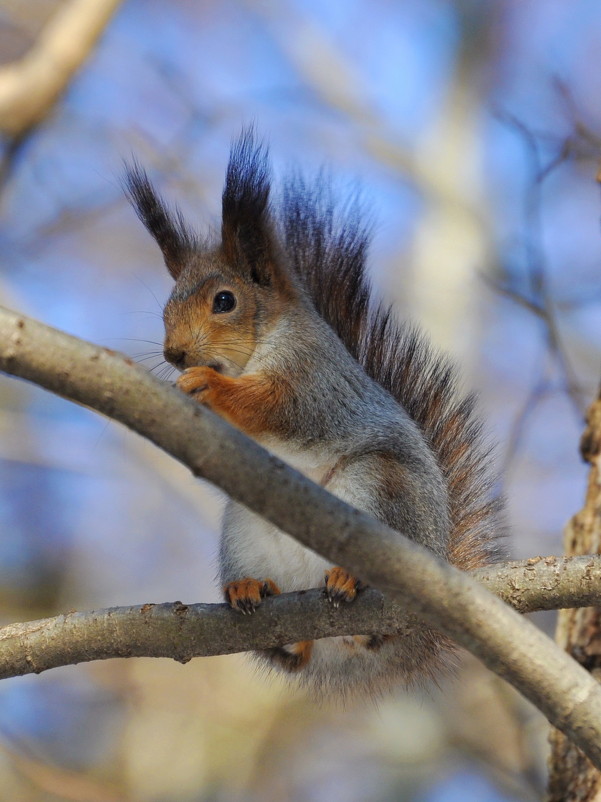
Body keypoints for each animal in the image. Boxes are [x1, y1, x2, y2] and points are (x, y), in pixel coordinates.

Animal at [125, 130, 502, 692]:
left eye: (224, 301)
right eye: (167, 308)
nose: (174, 355)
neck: (256, 350)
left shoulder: (314, 377)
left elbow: (282, 406)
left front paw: (207, 384)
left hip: (382, 489)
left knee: (372, 626)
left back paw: (350, 581)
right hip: (244, 533)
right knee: (293, 650)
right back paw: (252, 593)